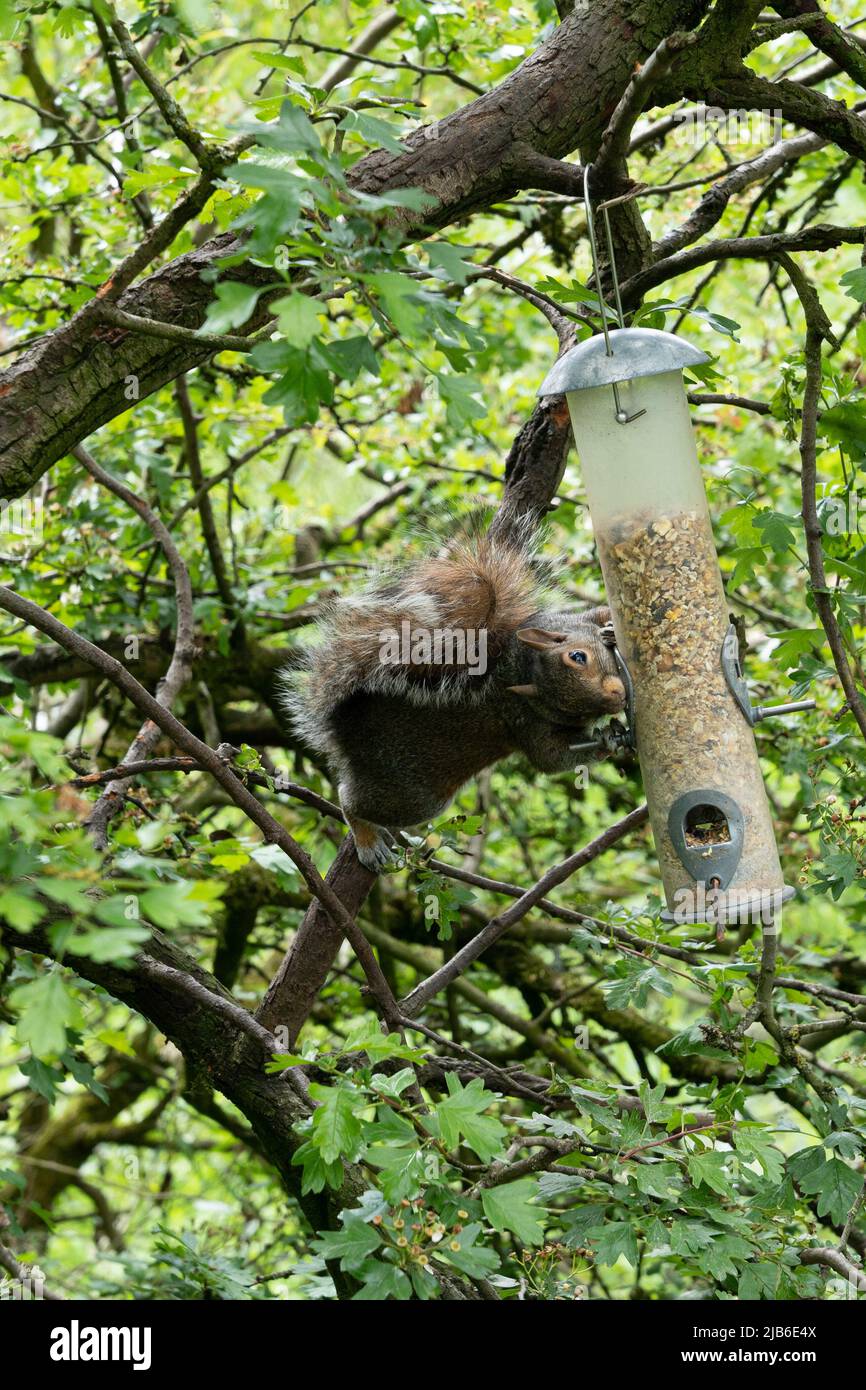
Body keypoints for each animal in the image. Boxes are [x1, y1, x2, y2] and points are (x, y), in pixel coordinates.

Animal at [281, 517, 626, 870]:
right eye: (577, 658)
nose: (619, 697)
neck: (522, 666)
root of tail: (342, 726)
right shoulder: (527, 725)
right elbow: (552, 758)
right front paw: (606, 741)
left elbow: (597, 613)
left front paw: (610, 629)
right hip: (412, 796)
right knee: (349, 800)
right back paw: (366, 839)